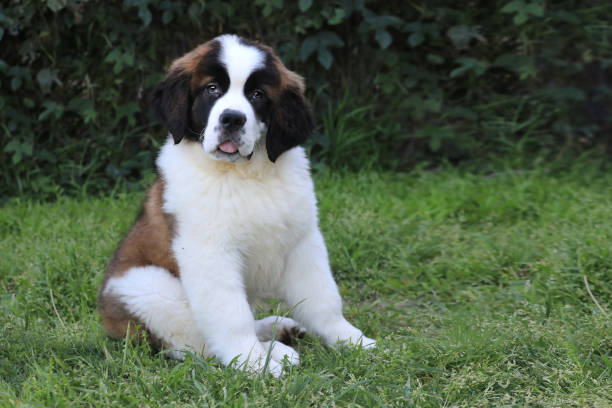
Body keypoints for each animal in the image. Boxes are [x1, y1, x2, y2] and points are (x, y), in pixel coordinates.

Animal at [98, 34, 376, 376]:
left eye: (257, 95)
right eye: (212, 89)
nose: (232, 118)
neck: (244, 174)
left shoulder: (302, 240)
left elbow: (323, 298)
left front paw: (352, 340)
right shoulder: (210, 253)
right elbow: (230, 316)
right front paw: (255, 363)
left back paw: (278, 329)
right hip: (144, 285)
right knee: (193, 345)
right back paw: (275, 351)